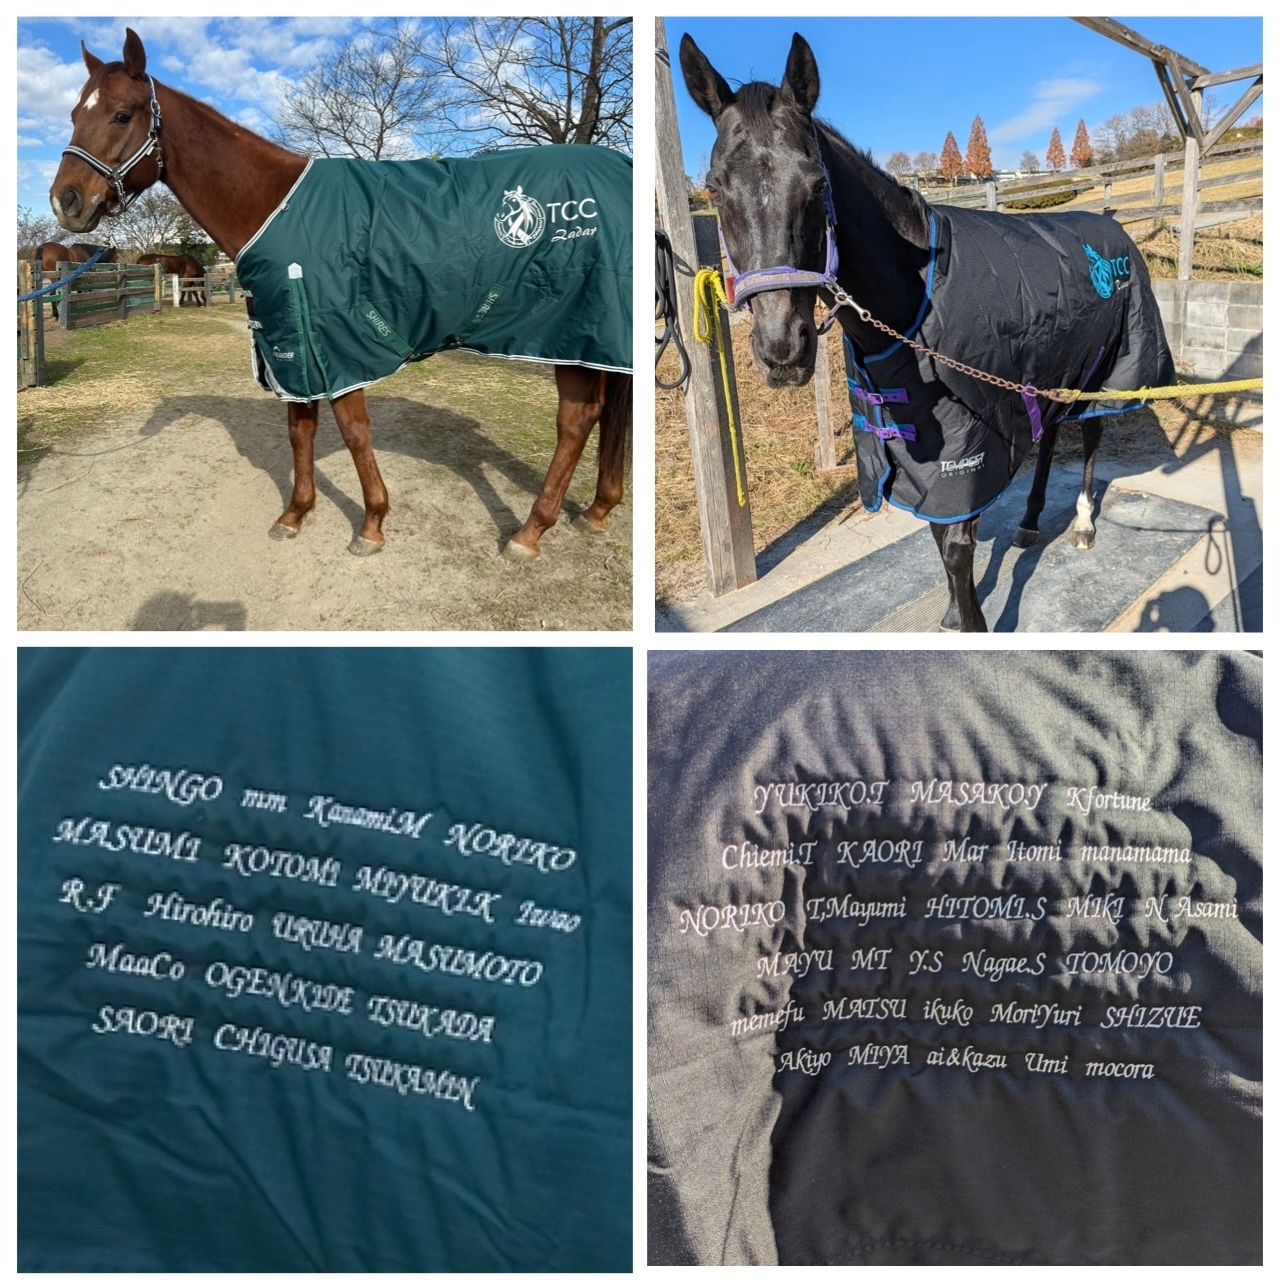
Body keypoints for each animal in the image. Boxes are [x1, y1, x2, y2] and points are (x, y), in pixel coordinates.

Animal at [51, 29, 631, 560]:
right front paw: (294, 513)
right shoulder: (290, 341)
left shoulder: (336, 339)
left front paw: (372, 524)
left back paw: (529, 533)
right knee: (600, 414)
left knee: (576, 420)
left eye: (122, 115)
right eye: (75, 114)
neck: (275, 208)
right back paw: (596, 510)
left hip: (569, 332)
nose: (66, 201)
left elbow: (352, 430)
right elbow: (299, 429)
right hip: (592, 337)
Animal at [680, 33, 1174, 632]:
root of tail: (1111, 224)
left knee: (1094, 432)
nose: (782, 348)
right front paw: (953, 613)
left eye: (817, 185)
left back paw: (1080, 524)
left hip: (1106, 367)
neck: (915, 300)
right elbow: (940, 539)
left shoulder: (966, 448)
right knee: (1053, 434)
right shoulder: (919, 448)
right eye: (714, 188)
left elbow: (957, 547)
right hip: (1054, 369)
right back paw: (1031, 521)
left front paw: (971, 622)